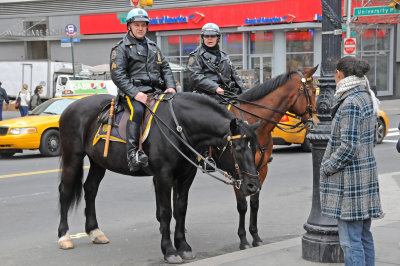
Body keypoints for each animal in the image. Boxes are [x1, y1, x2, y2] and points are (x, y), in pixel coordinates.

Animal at [57, 92, 262, 262]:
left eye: (255, 148)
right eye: (238, 149)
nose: (253, 185)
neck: (178, 127)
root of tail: (70, 106)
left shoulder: (186, 175)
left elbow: (180, 209)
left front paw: (183, 246)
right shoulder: (163, 176)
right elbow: (165, 212)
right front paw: (169, 250)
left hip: (98, 162)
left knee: (90, 189)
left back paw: (94, 231)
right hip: (73, 157)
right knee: (65, 191)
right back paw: (64, 236)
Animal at [225, 65, 318, 248]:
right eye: (311, 91)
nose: (315, 121)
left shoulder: (260, 170)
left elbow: (254, 203)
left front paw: (255, 236)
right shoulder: (236, 171)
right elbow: (242, 205)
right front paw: (243, 240)